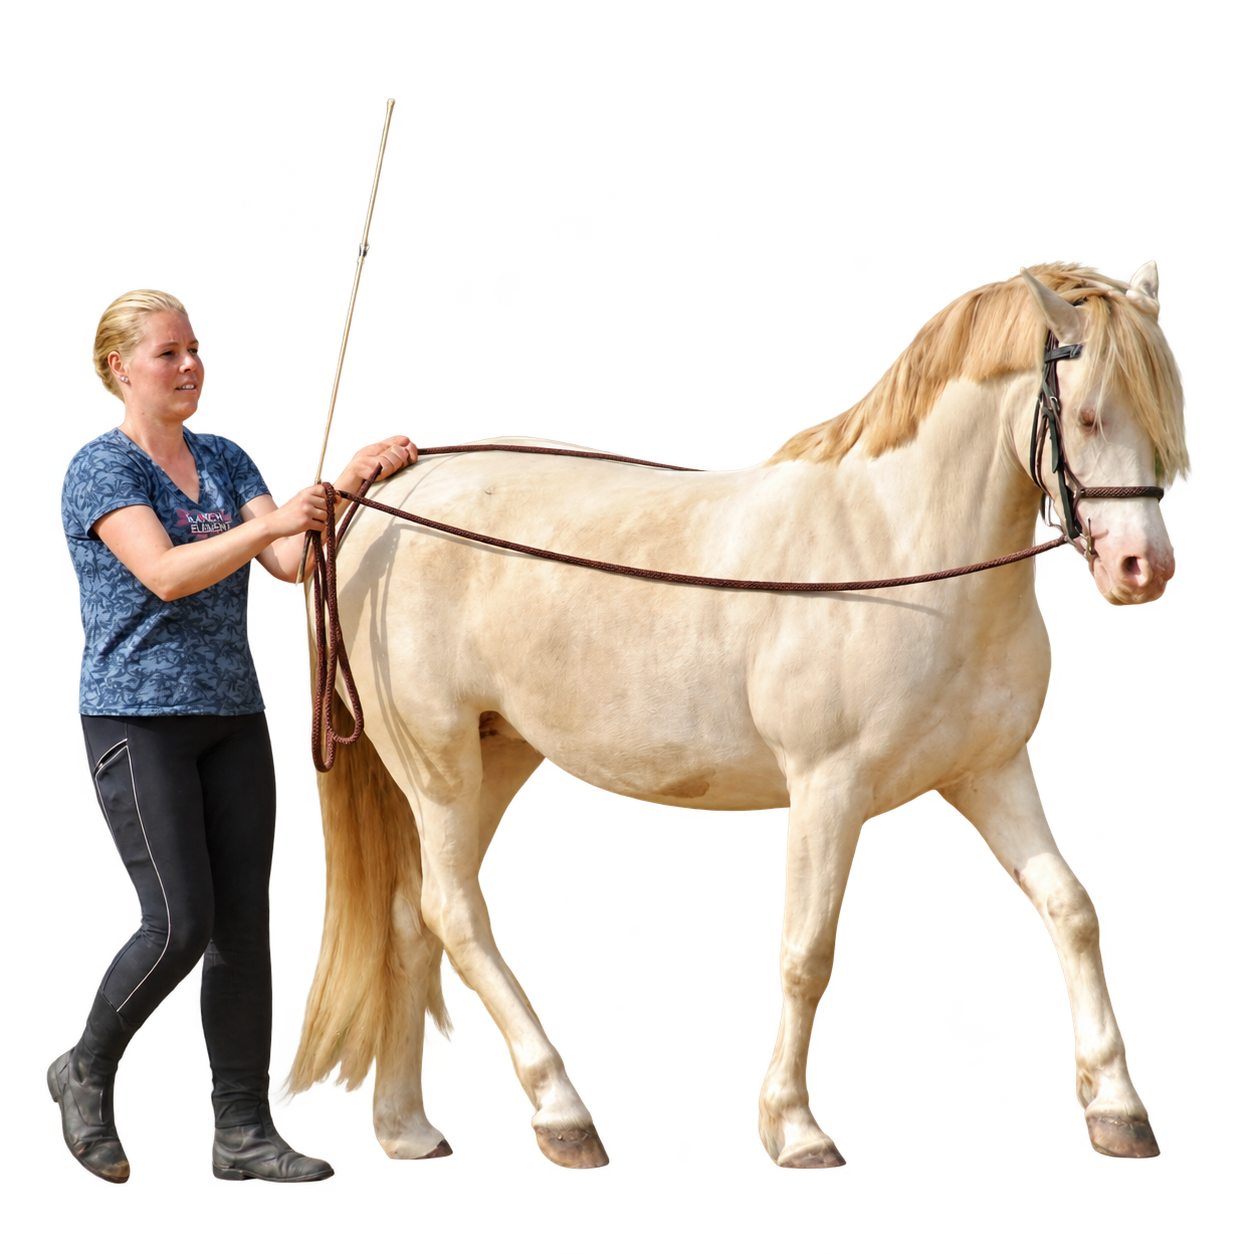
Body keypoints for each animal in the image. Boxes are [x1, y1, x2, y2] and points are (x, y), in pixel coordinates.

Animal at [275, 259, 1191, 1171]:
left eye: (1166, 413)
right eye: (1086, 414)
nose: (1141, 568)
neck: (898, 553)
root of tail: (384, 492)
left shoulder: (988, 773)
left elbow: (1071, 911)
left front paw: (1118, 1111)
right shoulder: (828, 786)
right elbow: (807, 952)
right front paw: (795, 1128)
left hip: (494, 756)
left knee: (408, 917)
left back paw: (405, 1124)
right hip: (436, 763)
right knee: (451, 913)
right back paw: (563, 1115)